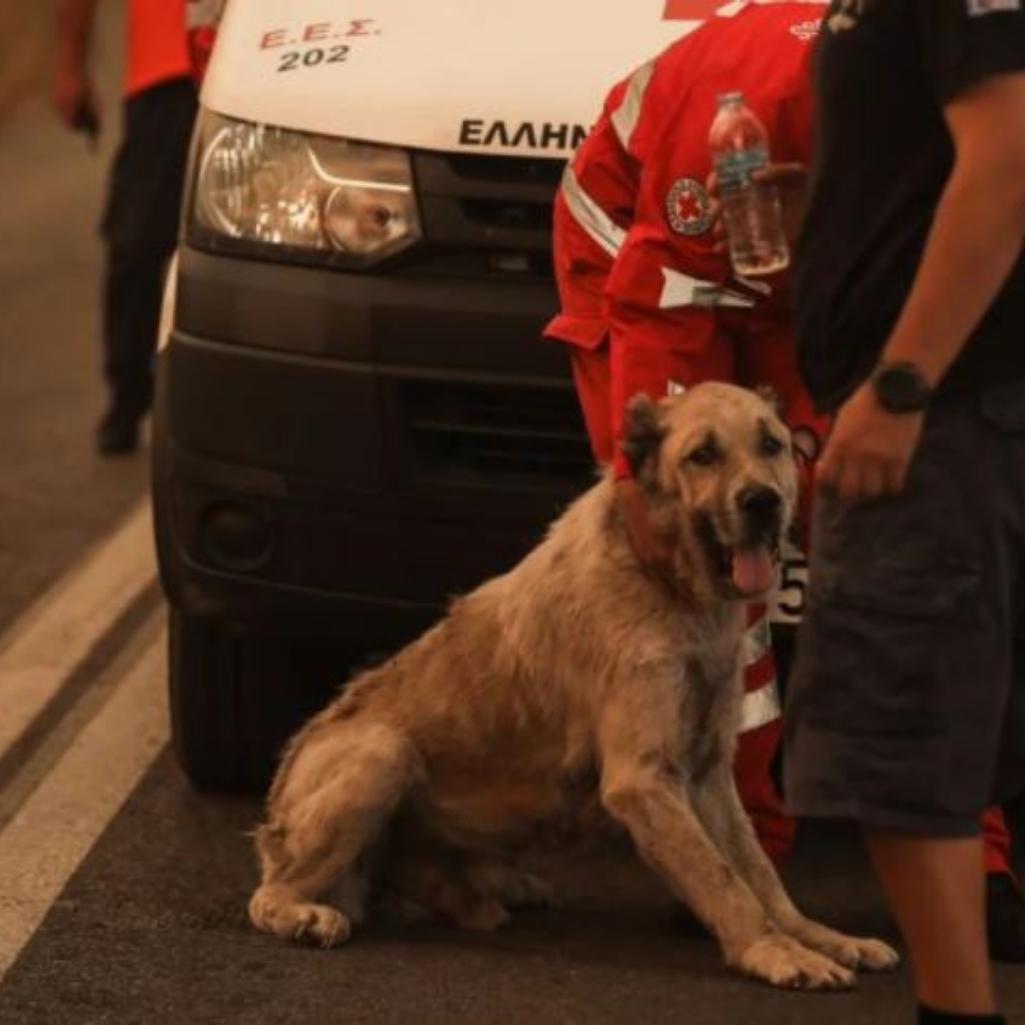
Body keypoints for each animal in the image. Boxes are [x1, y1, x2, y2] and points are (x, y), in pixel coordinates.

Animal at [250, 381, 897, 988]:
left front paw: (818, 937)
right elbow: (723, 880)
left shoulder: (710, 774)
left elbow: (757, 870)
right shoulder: (644, 780)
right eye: (703, 455)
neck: (665, 579)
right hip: (384, 754)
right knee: (270, 893)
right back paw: (304, 913)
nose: (763, 501)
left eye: (771, 445)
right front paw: (773, 951)